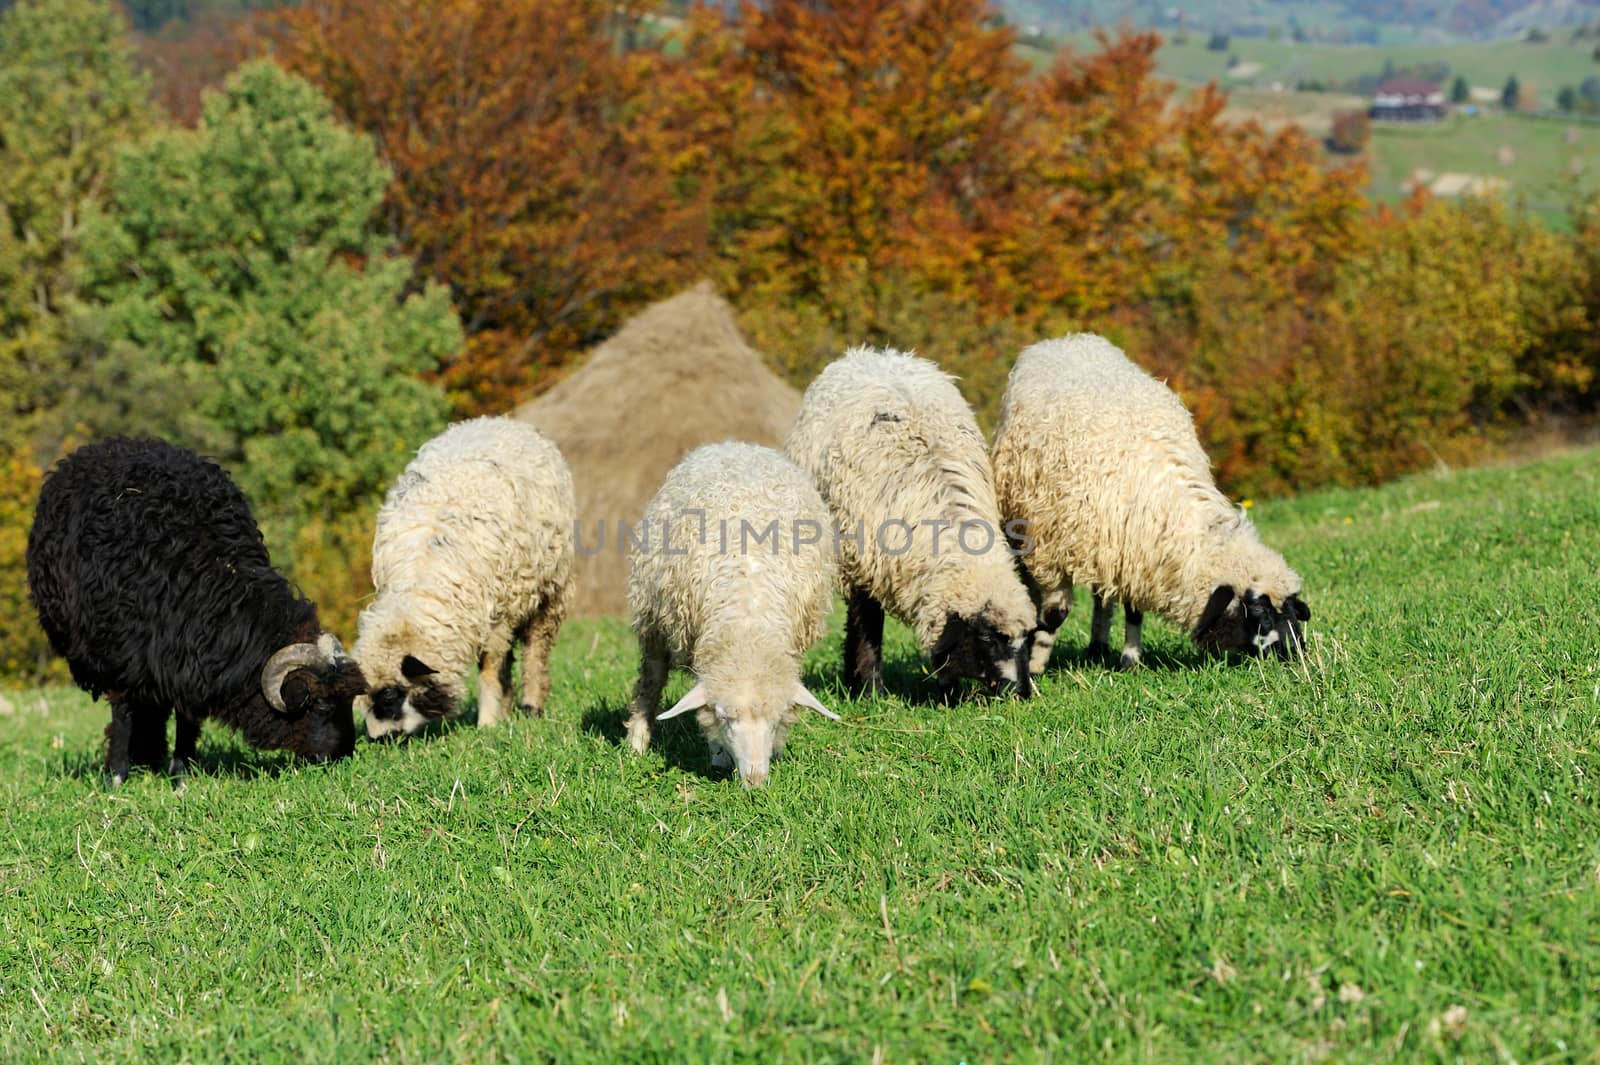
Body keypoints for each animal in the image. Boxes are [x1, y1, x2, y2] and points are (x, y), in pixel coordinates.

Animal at [26, 434, 366, 783]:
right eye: (322, 705)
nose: (343, 756)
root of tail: (117, 442)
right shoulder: (121, 654)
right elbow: (122, 714)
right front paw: (116, 776)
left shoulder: (187, 659)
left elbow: (186, 717)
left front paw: (180, 774)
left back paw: (151, 756)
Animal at [355, 415, 576, 738]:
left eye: (390, 695)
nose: (379, 739)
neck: (423, 576)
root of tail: (497, 420)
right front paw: (496, 715)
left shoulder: (499, 614)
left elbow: (489, 668)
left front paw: (487, 723)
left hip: (551, 587)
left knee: (537, 647)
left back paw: (531, 705)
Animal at [620, 434, 838, 783]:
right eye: (725, 718)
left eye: (775, 719)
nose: (755, 781)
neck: (748, 622)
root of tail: (736, 445)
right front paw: (719, 755)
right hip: (653, 615)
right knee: (650, 680)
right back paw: (637, 743)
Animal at [787, 343, 1036, 700]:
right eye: (988, 639)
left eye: (1028, 640)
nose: (1020, 693)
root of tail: (875, 353)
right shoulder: (862, 564)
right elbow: (867, 625)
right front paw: (870, 691)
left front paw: (948, 693)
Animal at [985, 332, 1312, 668]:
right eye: (1258, 610)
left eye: (1291, 608)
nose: (1296, 653)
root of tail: (1067, 339)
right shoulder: (1052, 552)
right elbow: (1054, 615)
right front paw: (1036, 665)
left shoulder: (1136, 552)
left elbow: (1133, 610)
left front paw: (1129, 660)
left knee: (1102, 597)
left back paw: (1098, 646)